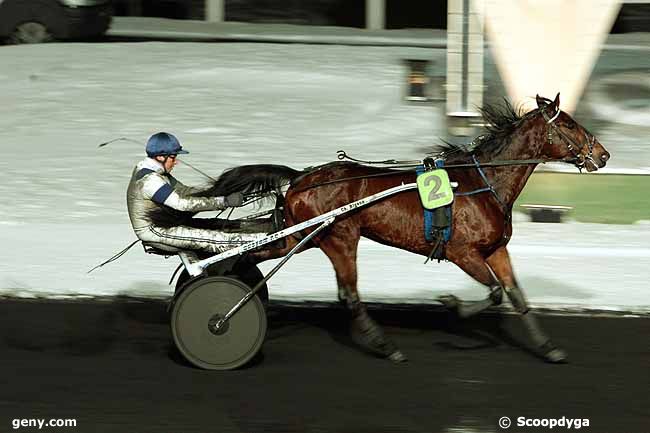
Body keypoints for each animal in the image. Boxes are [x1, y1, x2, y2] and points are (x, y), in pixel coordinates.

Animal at [156, 93, 608, 362]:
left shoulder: (496, 249)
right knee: (349, 294)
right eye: (568, 123)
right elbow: (494, 293)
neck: (482, 182)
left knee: (249, 254)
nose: (602, 155)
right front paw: (453, 304)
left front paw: (548, 348)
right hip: (339, 237)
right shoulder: (462, 252)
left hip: (302, 236)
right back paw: (382, 345)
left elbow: (516, 295)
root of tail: (301, 177)